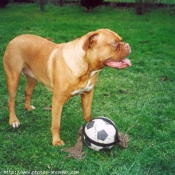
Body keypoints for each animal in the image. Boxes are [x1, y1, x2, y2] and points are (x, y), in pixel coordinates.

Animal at [3, 29, 131, 146]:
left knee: (28, 91)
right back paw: (14, 121)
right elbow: (56, 124)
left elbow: (88, 115)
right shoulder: (57, 100)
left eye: (121, 40)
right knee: (11, 101)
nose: (128, 45)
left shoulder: (87, 95)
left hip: (32, 77)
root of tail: (16, 38)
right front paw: (56, 141)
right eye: (114, 43)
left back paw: (28, 107)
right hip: (13, 78)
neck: (87, 68)